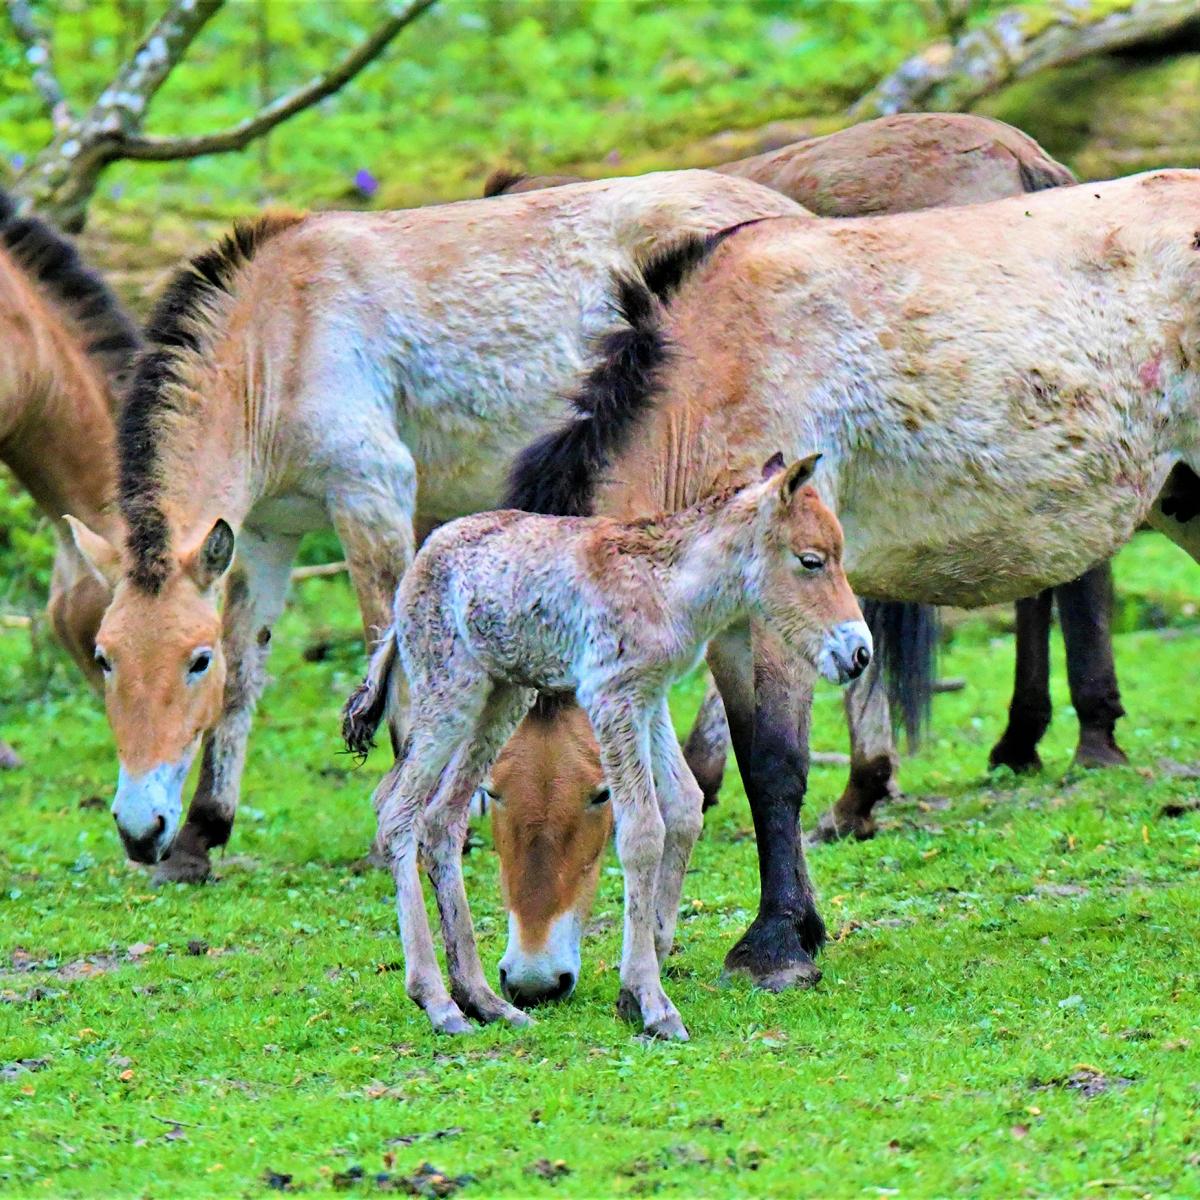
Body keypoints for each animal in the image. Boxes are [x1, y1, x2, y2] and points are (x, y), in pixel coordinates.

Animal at [60, 171, 811, 883]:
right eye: (104, 658)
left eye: (195, 661)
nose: (140, 831)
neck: (279, 342)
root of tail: (792, 215)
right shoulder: (269, 533)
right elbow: (248, 670)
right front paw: (201, 835)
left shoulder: (371, 497)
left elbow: (386, 654)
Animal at [343, 453, 868, 1036]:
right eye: (811, 560)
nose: (860, 653)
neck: (667, 584)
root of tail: (415, 572)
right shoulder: (611, 698)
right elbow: (642, 831)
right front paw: (654, 1003)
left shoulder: (650, 696)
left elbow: (684, 806)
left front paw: (636, 982)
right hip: (453, 693)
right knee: (397, 809)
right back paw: (437, 1002)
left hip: (501, 698)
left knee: (440, 820)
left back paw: (484, 1000)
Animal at [496, 166, 1200, 1003]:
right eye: (489, 795)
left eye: (598, 792)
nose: (533, 980)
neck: (708, 381)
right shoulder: (733, 624)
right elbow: (748, 759)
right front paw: (799, 927)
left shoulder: (783, 615)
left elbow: (775, 766)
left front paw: (772, 946)